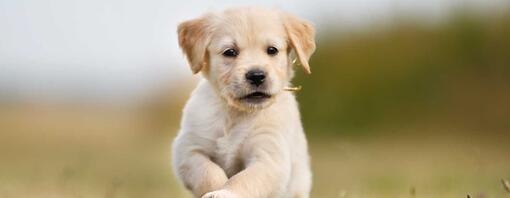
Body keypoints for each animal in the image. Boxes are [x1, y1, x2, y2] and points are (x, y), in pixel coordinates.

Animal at [171, 6, 314, 198]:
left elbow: (244, 179)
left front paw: (226, 192)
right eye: (230, 52)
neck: (236, 113)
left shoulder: (270, 156)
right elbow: (209, 172)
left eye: (272, 50)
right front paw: (216, 189)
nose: (257, 76)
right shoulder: (188, 148)